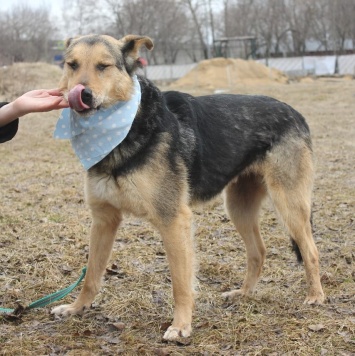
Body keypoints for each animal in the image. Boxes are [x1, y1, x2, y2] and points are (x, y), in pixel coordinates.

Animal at [51, 34, 326, 340]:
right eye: (72, 65)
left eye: (103, 66)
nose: (82, 94)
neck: (126, 127)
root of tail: (296, 113)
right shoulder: (103, 220)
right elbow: (91, 275)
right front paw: (76, 308)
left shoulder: (173, 220)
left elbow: (181, 283)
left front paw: (181, 325)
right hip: (238, 208)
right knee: (259, 252)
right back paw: (243, 293)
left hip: (289, 204)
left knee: (310, 251)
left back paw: (316, 296)